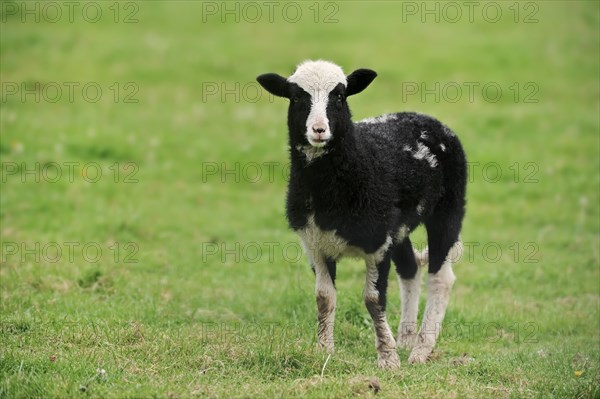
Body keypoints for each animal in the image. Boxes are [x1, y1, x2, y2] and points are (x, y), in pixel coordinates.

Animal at [255, 59, 466, 368]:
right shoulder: (315, 243)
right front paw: (325, 351)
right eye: (295, 98)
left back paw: (420, 349)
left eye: (340, 96)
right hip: (398, 227)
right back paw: (406, 338)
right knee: (410, 268)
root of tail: (426, 118)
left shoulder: (378, 245)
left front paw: (388, 359)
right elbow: (324, 297)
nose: (319, 129)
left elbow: (373, 300)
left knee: (440, 277)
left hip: (448, 209)